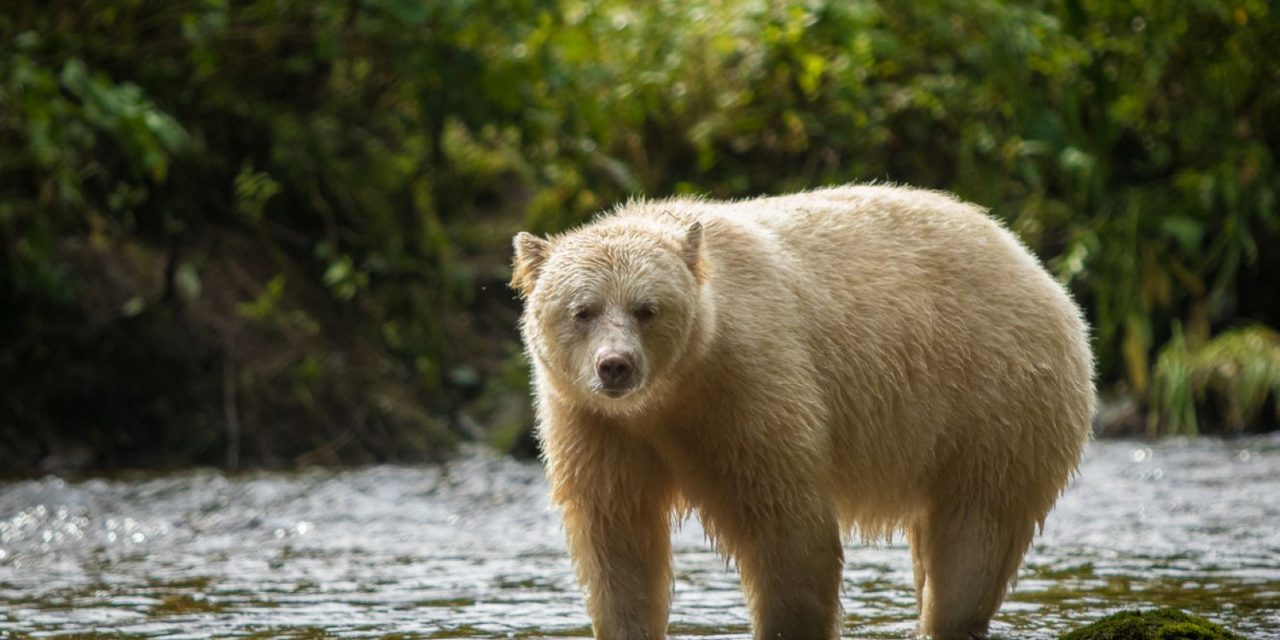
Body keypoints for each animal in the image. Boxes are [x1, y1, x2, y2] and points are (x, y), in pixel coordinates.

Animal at [510, 184, 1095, 640]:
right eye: (583, 310)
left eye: (646, 309)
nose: (616, 366)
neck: (672, 393)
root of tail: (1038, 270)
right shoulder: (594, 423)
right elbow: (616, 537)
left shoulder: (748, 384)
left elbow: (785, 525)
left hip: (994, 397)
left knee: (975, 534)